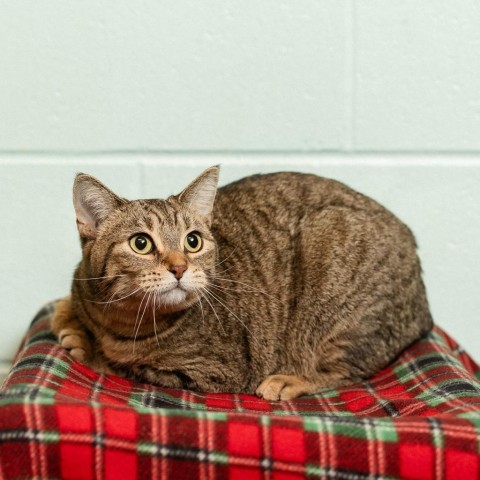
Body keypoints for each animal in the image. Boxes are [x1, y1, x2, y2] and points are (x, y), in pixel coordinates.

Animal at [51, 167, 432, 400]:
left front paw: (85, 345)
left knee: (348, 370)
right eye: (141, 243)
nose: (179, 267)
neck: (124, 321)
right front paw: (68, 317)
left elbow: (123, 366)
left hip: (330, 252)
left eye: (193, 241)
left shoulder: (217, 371)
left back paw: (291, 379)